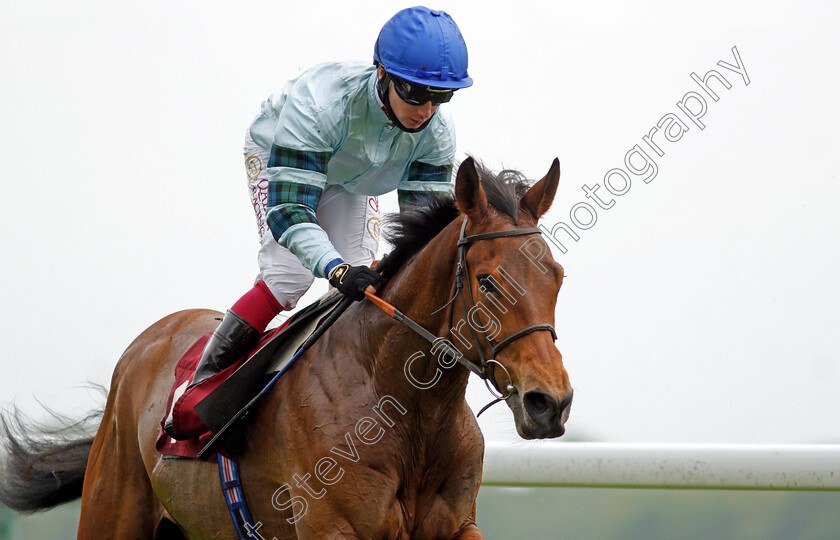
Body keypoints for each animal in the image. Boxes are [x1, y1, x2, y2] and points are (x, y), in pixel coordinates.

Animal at [0, 155, 572, 536]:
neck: (406, 409)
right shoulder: (335, 529)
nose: (550, 402)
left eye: (558, 276)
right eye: (488, 281)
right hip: (112, 511)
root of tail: (147, 344)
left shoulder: (455, 525)